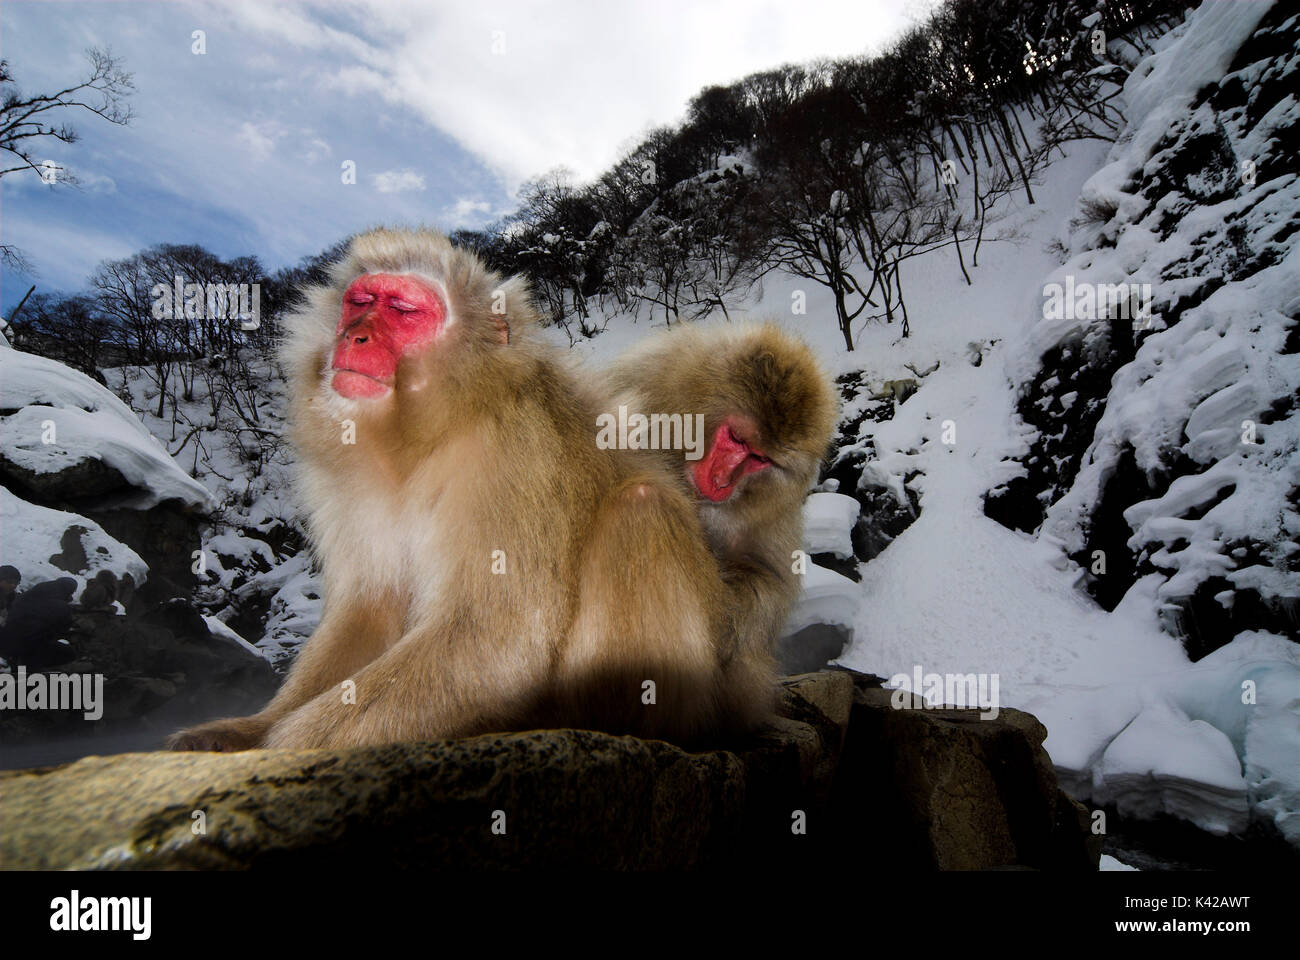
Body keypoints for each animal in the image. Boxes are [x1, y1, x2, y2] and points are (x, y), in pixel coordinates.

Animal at [169, 228, 774, 753]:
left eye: (403, 310)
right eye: (359, 302)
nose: (352, 336)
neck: (427, 431)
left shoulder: (510, 454)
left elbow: (497, 632)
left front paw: (282, 748)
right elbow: (372, 606)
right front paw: (247, 729)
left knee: (640, 511)